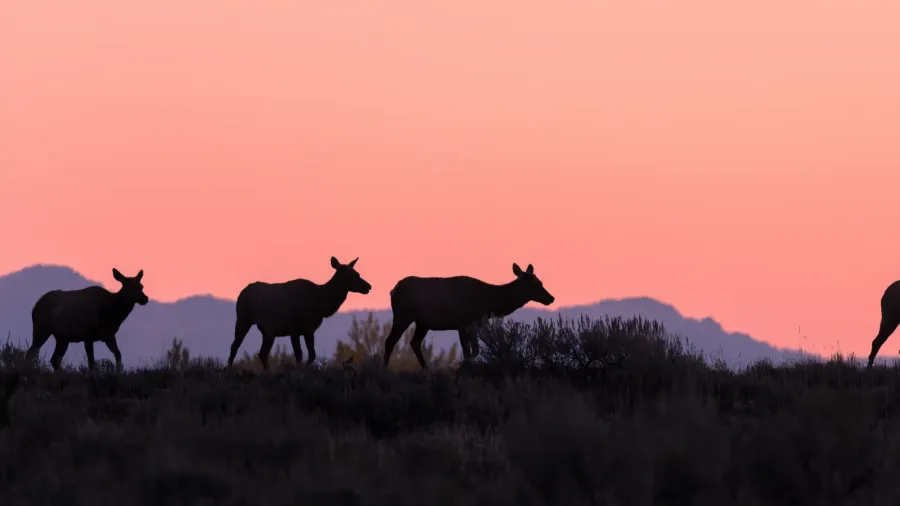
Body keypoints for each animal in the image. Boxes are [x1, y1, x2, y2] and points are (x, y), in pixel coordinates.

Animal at [228, 256, 372, 371]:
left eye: (357, 273)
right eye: (352, 275)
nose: (369, 286)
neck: (320, 305)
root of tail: (241, 293)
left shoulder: (309, 330)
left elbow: (312, 355)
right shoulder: (294, 329)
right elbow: (299, 355)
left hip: (268, 331)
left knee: (262, 352)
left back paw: (268, 371)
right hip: (243, 319)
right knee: (235, 345)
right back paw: (228, 369)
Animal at [382, 263, 555, 370]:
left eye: (540, 281)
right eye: (534, 284)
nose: (551, 298)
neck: (489, 302)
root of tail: (392, 290)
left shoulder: (474, 325)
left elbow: (474, 351)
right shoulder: (463, 323)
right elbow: (469, 352)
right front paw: (460, 368)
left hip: (422, 322)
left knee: (414, 342)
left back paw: (426, 370)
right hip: (402, 316)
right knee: (390, 341)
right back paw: (384, 370)